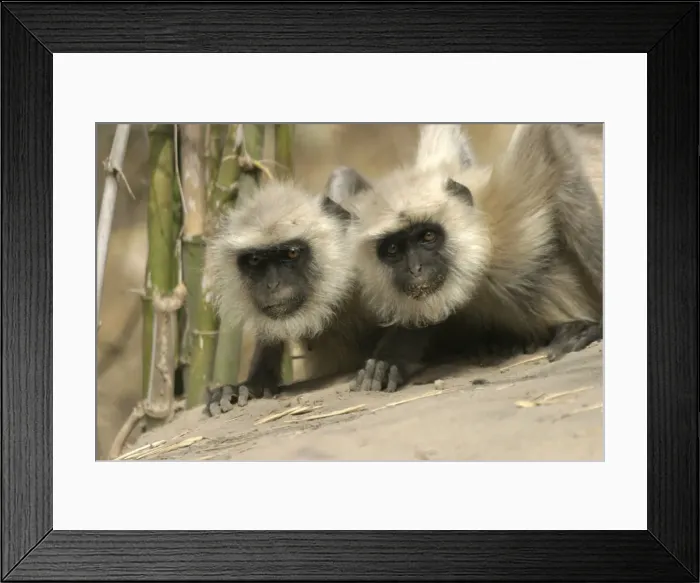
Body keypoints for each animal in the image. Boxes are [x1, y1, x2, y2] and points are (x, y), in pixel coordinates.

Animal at [326, 123, 603, 393]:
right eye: (393, 249)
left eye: (428, 236)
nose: (416, 268)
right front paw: (394, 354)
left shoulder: (510, 213)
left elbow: (549, 139)